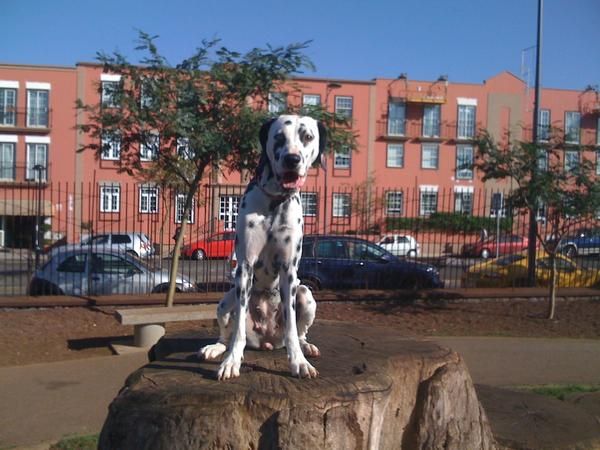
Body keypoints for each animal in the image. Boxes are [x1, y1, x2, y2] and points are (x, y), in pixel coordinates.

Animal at [199, 115, 326, 380]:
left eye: (307, 137)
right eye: (279, 137)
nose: (292, 159)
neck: (274, 203)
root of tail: (267, 340)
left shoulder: (289, 272)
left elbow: (292, 329)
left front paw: (298, 362)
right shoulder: (245, 267)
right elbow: (237, 331)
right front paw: (231, 362)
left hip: (306, 295)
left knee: (299, 332)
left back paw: (306, 347)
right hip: (225, 302)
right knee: (227, 334)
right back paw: (216, 348)